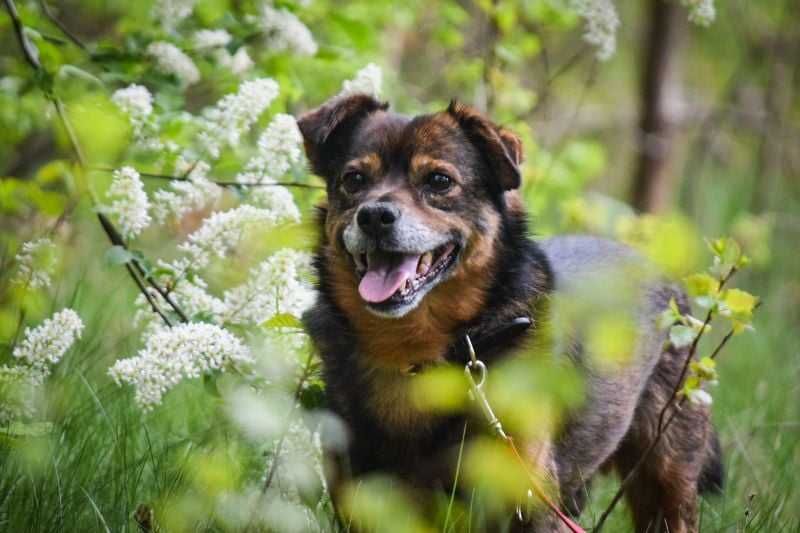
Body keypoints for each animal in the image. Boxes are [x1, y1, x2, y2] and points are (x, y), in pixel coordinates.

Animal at [296, 93, 720, 528]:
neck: (414, 354)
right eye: (354, 180)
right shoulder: (361, 499)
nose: (374, 215)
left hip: (667, 472)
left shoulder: (526, 492)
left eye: (439, 181)